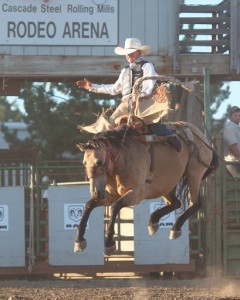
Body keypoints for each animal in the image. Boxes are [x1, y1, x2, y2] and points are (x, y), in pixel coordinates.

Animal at [74, 120, 218, 254]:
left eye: (99, 162)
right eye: (84, 162)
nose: (95, 193)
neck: (122, 158)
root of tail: (199, 134)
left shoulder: (137, 194)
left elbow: (115, 207)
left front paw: (109, 243)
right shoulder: (110, 195)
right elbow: (89, 205)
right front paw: (79, 241)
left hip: (194, 175)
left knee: (195, 204)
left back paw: (175, 227)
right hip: (166, 185)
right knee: (176, 203)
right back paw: (154, 221)